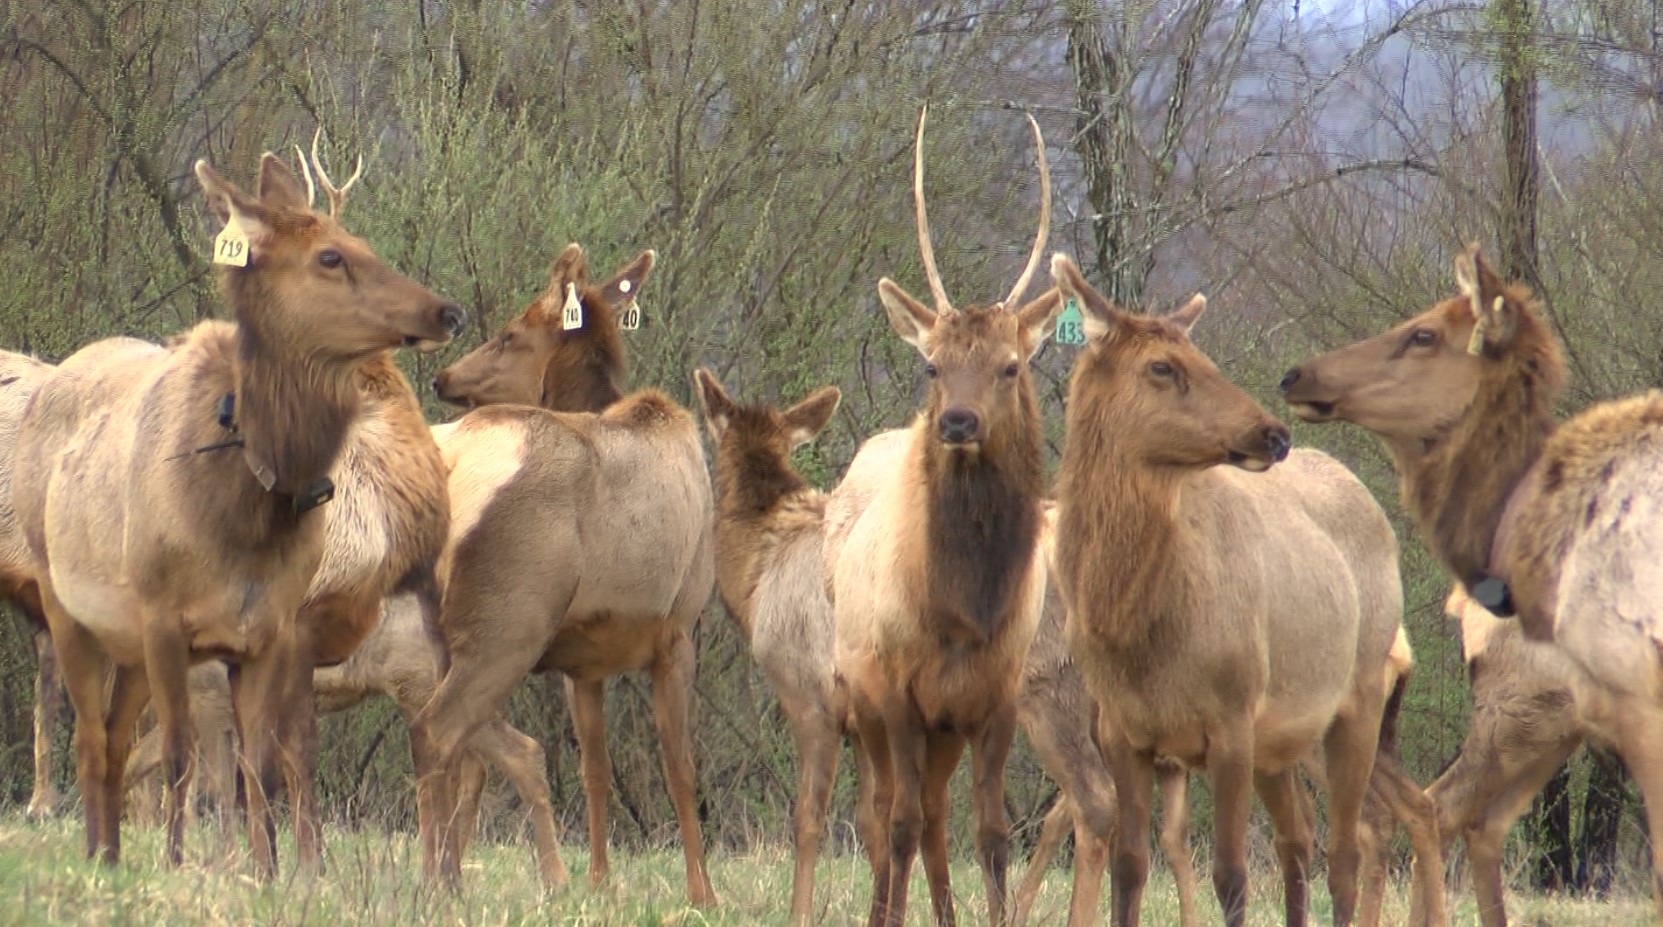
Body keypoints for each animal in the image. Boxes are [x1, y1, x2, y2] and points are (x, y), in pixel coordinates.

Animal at [9, 151, 465, 872]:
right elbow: (267, 757)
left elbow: (260, 767)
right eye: (331, 256)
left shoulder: (271, 632)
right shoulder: (273, 628)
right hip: (70, 608)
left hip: (129, 643)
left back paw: (110, 848)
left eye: (363, 244)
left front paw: (267, 867)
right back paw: (84, 837)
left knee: (117, 737)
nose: (448, 311)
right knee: (93, 731)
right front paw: (288, 864)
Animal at [409, 239, 715, 905]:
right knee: (435, 731)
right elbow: (680, 767)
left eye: (507, 334)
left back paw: (451, 877)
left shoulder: (585, 664)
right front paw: (702, 893)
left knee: (466, 749)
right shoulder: (677, 630)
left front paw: (600, 882)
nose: (443, 376)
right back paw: (433, 881)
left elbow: (595, 768)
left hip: (443, 631)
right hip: (508, 627)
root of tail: (455, 465)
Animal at [821, 106, 1064, 925]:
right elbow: (893, 826)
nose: (957, 421)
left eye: (1010, 365)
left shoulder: (994, 697)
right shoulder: (896, 691)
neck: (962, 610)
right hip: (857, 697)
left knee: (931, 813)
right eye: (932, 364)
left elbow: (989, 833)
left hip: (943, 728)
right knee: (884, 814)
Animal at [1044, 252, 1410, 925]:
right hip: (1282, 739)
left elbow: (1231, 875)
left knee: (1347, 848)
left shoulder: (1233, 716)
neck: (1139, 634)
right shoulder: (1121, 729)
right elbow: (1129, 868)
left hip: (1359, 697)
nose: (1274, 433)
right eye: (1162, 366)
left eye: (1204, 355)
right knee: (1298, 838)